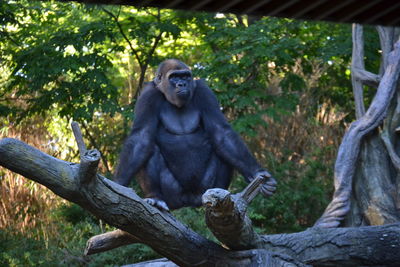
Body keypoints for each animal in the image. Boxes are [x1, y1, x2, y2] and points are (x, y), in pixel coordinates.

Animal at [115, 58, 276, 211]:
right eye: (174, 77)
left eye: (185, 76)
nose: (182, 84)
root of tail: (189, 202)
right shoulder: (148, 95)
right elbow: (141, 137)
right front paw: (119, 183)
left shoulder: (204, 91)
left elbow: (221, 133)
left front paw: (258, 173)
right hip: (173, 198)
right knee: (150, 149)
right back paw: (155, 197)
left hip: (203, 192)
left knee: (221, 151)